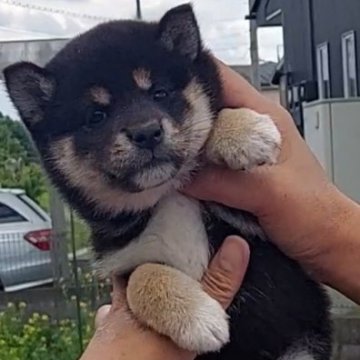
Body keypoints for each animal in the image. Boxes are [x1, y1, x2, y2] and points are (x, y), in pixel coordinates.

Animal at [4, 3, 332, 360]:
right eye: (96, 116)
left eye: (160, 93)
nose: (146, 132)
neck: (167, 195)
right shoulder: (122, 264)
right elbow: (143, 277)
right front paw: (197, 318)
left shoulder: (263, 221)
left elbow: (215, 119)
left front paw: (243, 131)